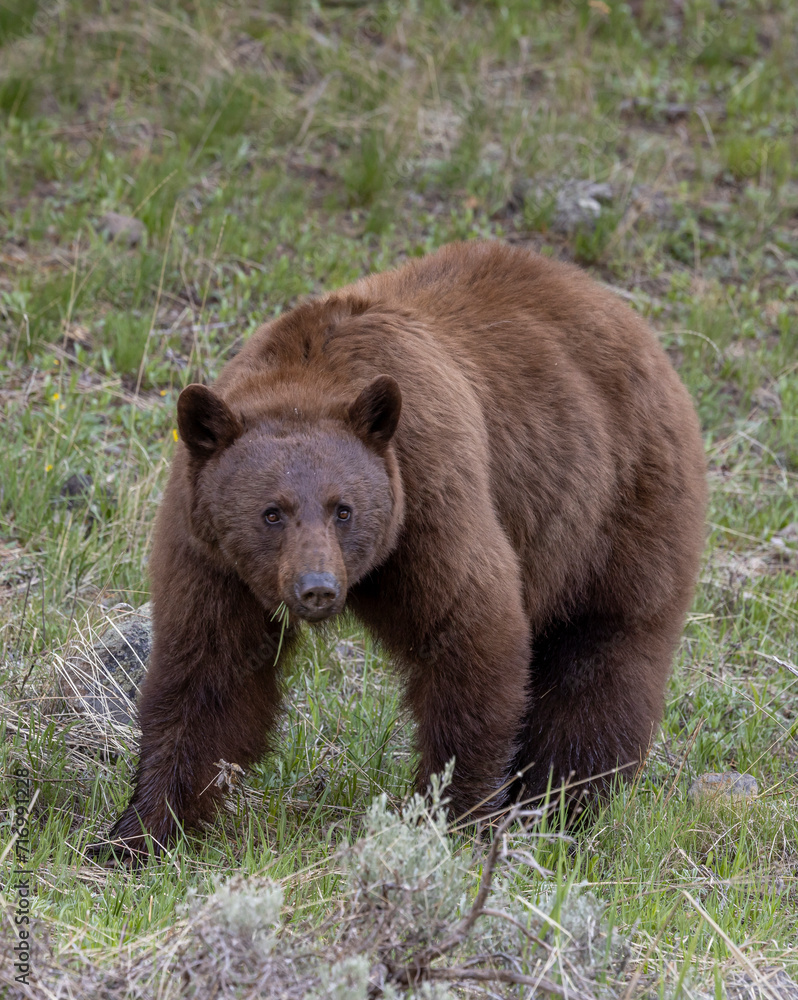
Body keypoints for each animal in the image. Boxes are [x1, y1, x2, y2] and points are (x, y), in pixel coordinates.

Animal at [109, 238, 708, 856]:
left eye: (343, 509)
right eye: (271, 512)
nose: (317, 588)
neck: (307, 379)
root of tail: (625, 314)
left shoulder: (428, 498)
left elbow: (472, 634)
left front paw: (450, 815)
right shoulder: (211, 552)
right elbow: (208, 672)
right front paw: (140, 832)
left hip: (615, 508)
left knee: (601, 657)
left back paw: (561, 805)